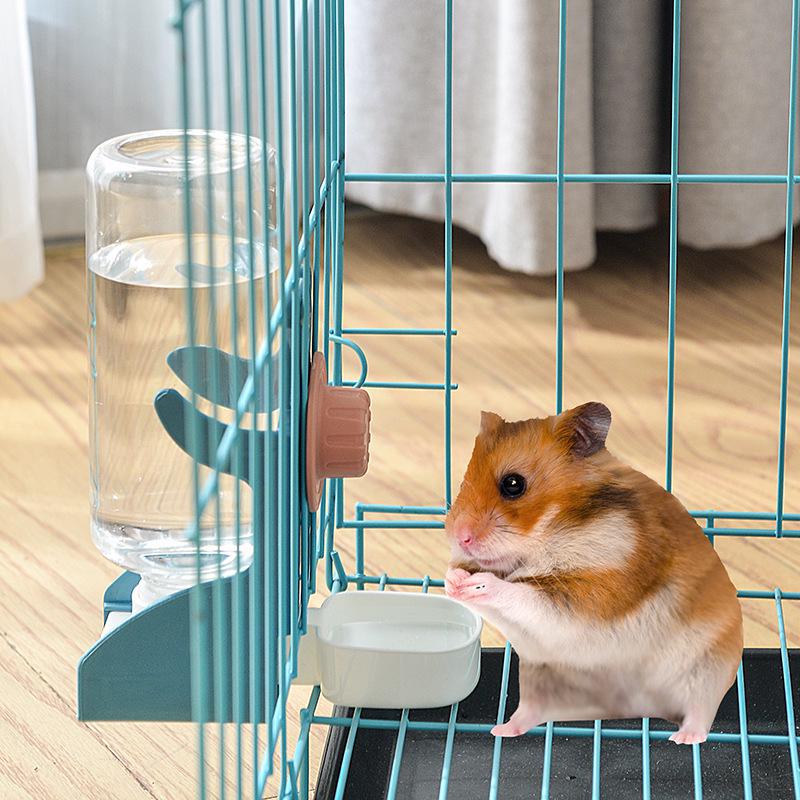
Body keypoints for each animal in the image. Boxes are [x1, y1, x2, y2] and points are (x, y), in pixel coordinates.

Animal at [444, 402, 742, 744]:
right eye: (463, 480)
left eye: (513, 484)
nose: (460, 537)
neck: (552, 533)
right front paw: (453, 581)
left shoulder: (593, 594)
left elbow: (524, 594)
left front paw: (478, 584)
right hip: (541, 679)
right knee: (531, 712)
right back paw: (502, 730)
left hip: (706, 675)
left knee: (700, 715)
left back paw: (681, 738)